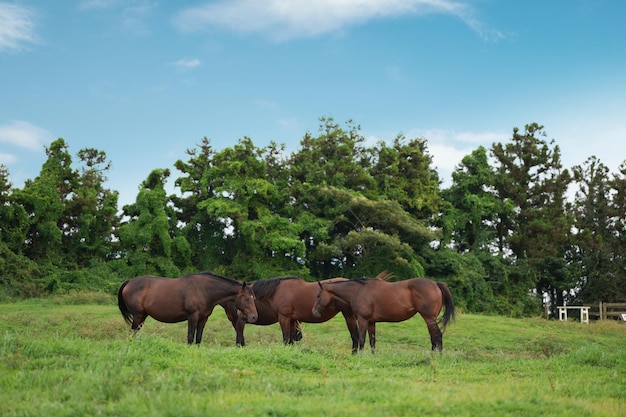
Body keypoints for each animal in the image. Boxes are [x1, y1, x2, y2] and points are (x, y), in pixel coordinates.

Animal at [118, 272, 258, 342]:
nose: (254, 317)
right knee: (132, 332)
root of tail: (129, 282)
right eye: (247, 298)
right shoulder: (192, 317)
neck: (204, 290)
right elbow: (190, 336)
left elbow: (198, 337)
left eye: (254, 298)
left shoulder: (203, 318)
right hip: (138, 315)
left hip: (143, 315)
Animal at [227, 276, 358, 352]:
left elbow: (286, 338)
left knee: (355, 335)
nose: (239, 313)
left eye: (250, 299)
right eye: (246, 299)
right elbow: (291, 340)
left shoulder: (284, 318)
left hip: (349, 316)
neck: (276, 291)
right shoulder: (291, 320)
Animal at [312, 276, 454, 352]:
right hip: (430, 319)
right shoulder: (371, 322)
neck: (358, 291)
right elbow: (372, 341)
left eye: (318, 296)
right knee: (433, 337)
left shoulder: (362, 320)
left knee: (437, 336)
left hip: (429, 318)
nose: (314, 312)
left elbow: (362, 340)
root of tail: (435, 283)